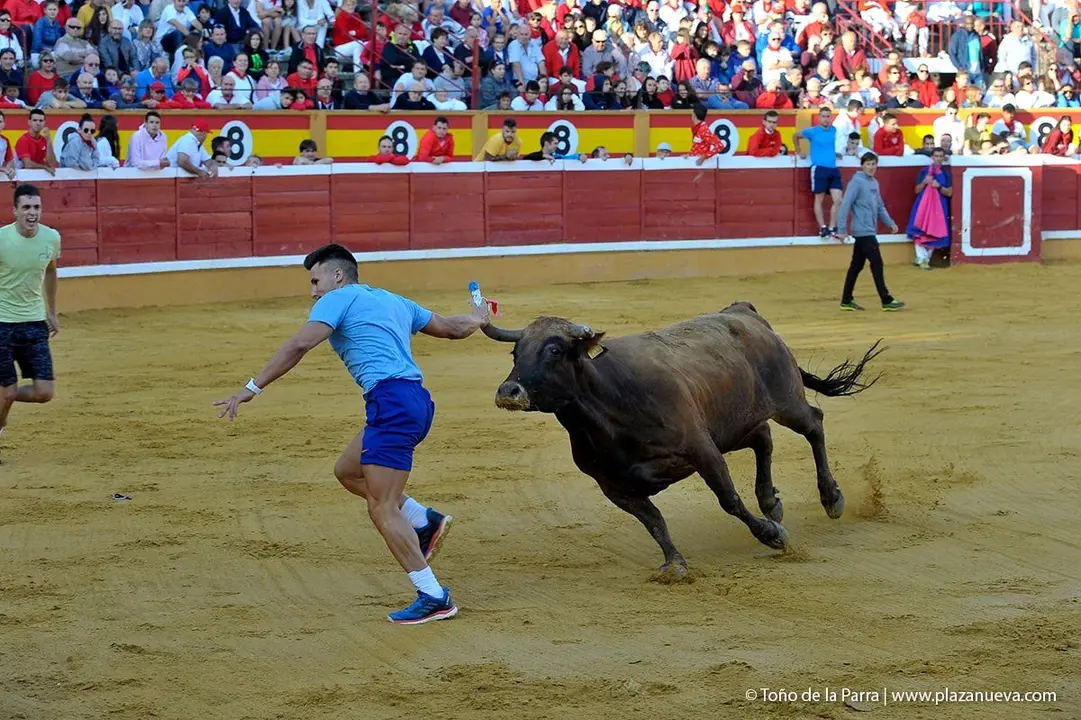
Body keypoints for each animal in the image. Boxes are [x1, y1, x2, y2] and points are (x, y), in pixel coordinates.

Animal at [480, 301, 883, 580]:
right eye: (516, 352)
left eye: (554, 350)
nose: (508, 391)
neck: (607, 408)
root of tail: (742, 311)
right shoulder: (614, 488)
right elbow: (654, 521)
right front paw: (674, 563)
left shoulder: (702, 451)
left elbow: (729, 501)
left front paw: (773, 536)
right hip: (733, 425)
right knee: (764, 439)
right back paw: (771, 501)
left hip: (786, 402)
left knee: (813, 425)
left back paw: (831, 498)